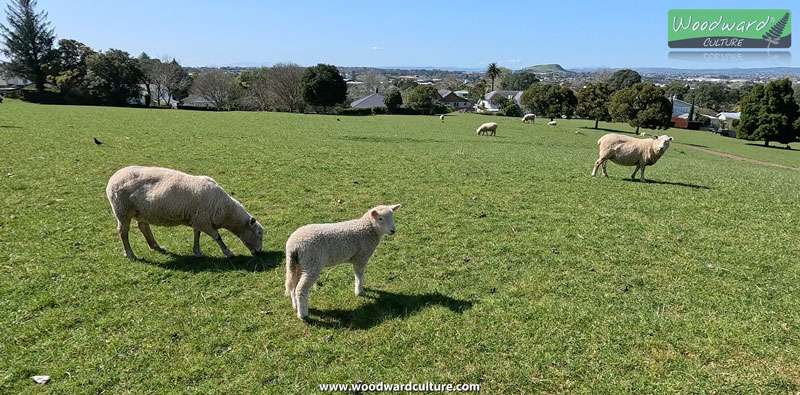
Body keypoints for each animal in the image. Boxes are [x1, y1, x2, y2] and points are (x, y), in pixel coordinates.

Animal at [104, 166, 262, 260]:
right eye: (259, 233)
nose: (260, 251)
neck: (224, 209)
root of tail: (114, 176)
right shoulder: (204, 220)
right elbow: (217, 237)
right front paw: (228, 252)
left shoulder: (198, 218)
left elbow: (197, 234)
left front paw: (197, 251)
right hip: (122, 210)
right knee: (123, 232)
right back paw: (130, 254)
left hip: (141, 211)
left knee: (143, 226)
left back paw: (155, 246)